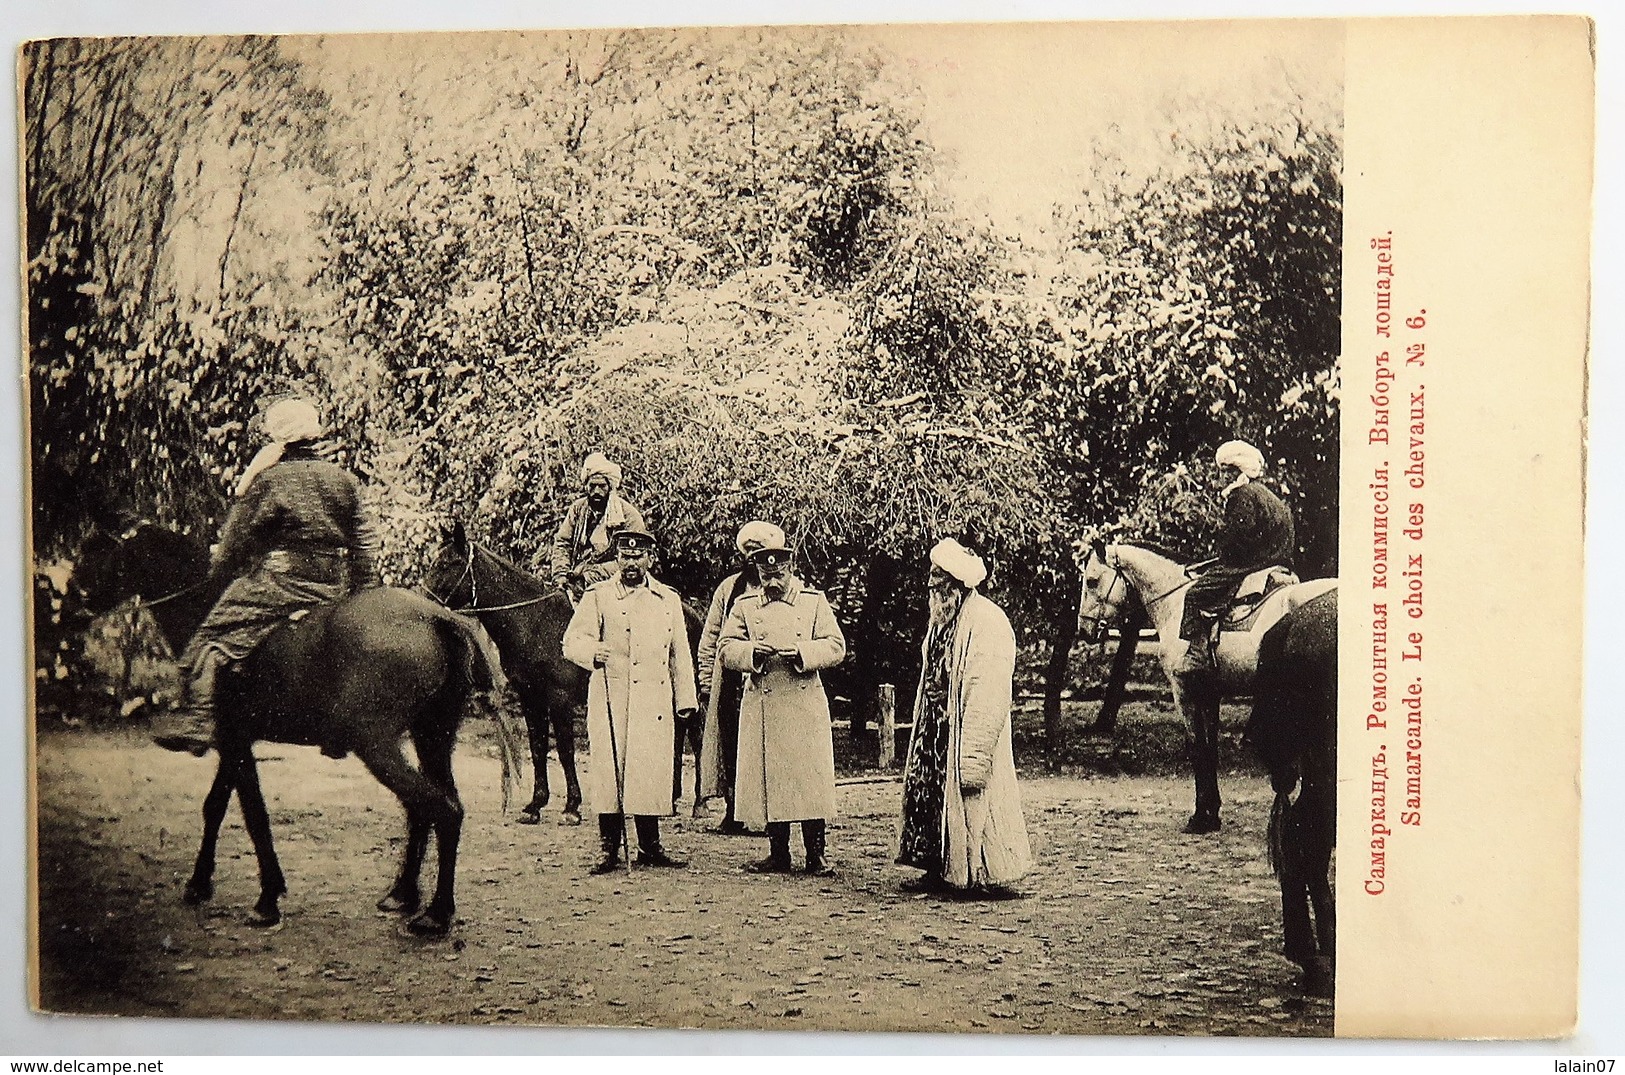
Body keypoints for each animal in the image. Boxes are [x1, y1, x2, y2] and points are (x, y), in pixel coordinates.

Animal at [71, 526, 507, 941]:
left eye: (96, 556)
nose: (73, 606)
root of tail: (438, 618)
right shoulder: (235, 738)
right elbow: (216, 806)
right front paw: (199, 884)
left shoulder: (234, 738)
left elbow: (253, 812)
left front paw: (266, 899)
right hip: (431, 738)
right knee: (430, 805)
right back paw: (404, 895)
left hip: (378, 745)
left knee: (439, 808)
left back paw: (436, 914)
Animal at [419, 526, 705, 828]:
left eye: (449, 563)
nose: (421, 602)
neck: (534, 622)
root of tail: (692, 614)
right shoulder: (530, 698)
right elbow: (537, 747)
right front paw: (535, 805)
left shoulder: (560, 699)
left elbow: (565, 751)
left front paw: (571, 807)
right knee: (677, 734)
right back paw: (670, 799)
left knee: (696, 736)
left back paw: (698, 803)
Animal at [1079, 542, 1332, 837]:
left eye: (1092, 581)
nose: (1084, 630)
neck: (1174, 603)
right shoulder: (1210, 694)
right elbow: (1211, 750)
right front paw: (1212, 813)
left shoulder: (1184, 691)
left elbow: (1197, 749)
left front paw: (1200, 817)